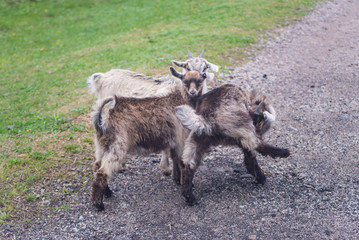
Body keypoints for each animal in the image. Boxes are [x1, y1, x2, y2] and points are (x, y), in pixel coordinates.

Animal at [91, 67, 207, 210]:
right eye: (185, 81)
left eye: (200, 80)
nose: (192, 92)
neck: (180, 98)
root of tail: (102, 116)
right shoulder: (181, 140)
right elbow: (183, 164)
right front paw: (189, 196)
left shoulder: (175, 141)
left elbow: (175, 158)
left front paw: (176, 179)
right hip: (117, 146)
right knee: (102, 172)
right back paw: (99, 204)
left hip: (102, 145)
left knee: (97, 166)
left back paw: (107, 193)